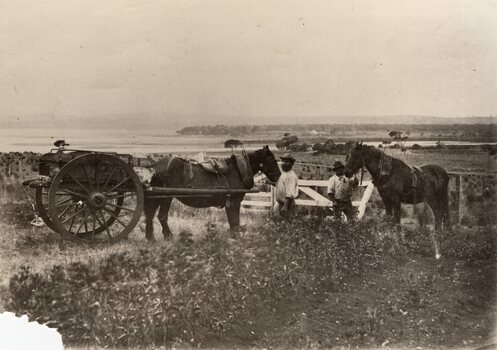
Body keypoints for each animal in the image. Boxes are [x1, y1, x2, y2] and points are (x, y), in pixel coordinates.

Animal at [145, 145, 280, 241]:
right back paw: (168, 236)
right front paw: (235, 238)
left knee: (150, 214)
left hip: (158, 196)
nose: (279, 177)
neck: (238, 171)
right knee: (161, 216)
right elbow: (234, 222)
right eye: (272, 160)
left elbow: (233, 222)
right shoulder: (233, 202)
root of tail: (155, 166)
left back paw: (151, 237)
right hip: (166, 196)